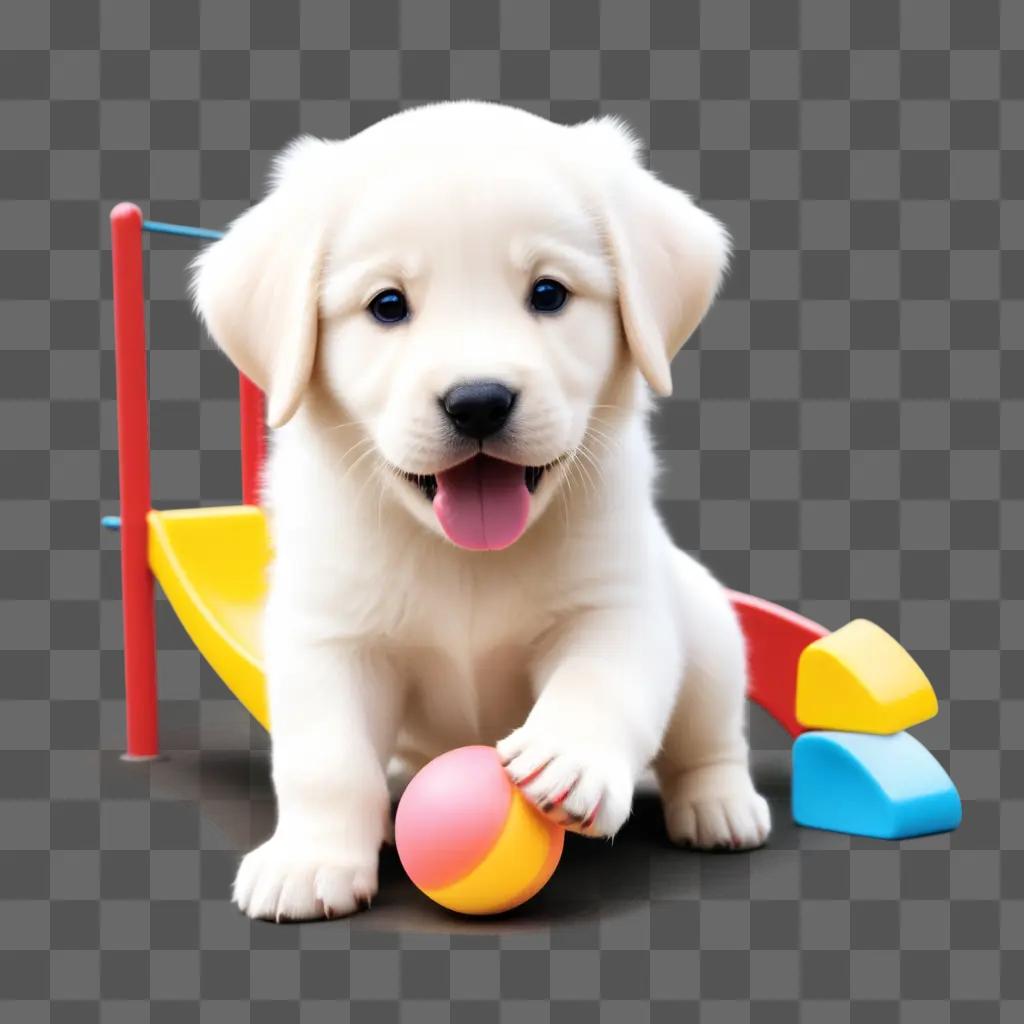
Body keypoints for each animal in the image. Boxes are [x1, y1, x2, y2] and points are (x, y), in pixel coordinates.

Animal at [192, 101, 770, 921]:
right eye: (388, 305)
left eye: (550, 294)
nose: (478, 402)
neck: (463, 558)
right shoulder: (328, 636)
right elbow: (326, 759)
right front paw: (310, 857)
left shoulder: (617, 605)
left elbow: (601, 681)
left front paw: (570, 757)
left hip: (710, 634)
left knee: (709, 738)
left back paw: (720, 805)